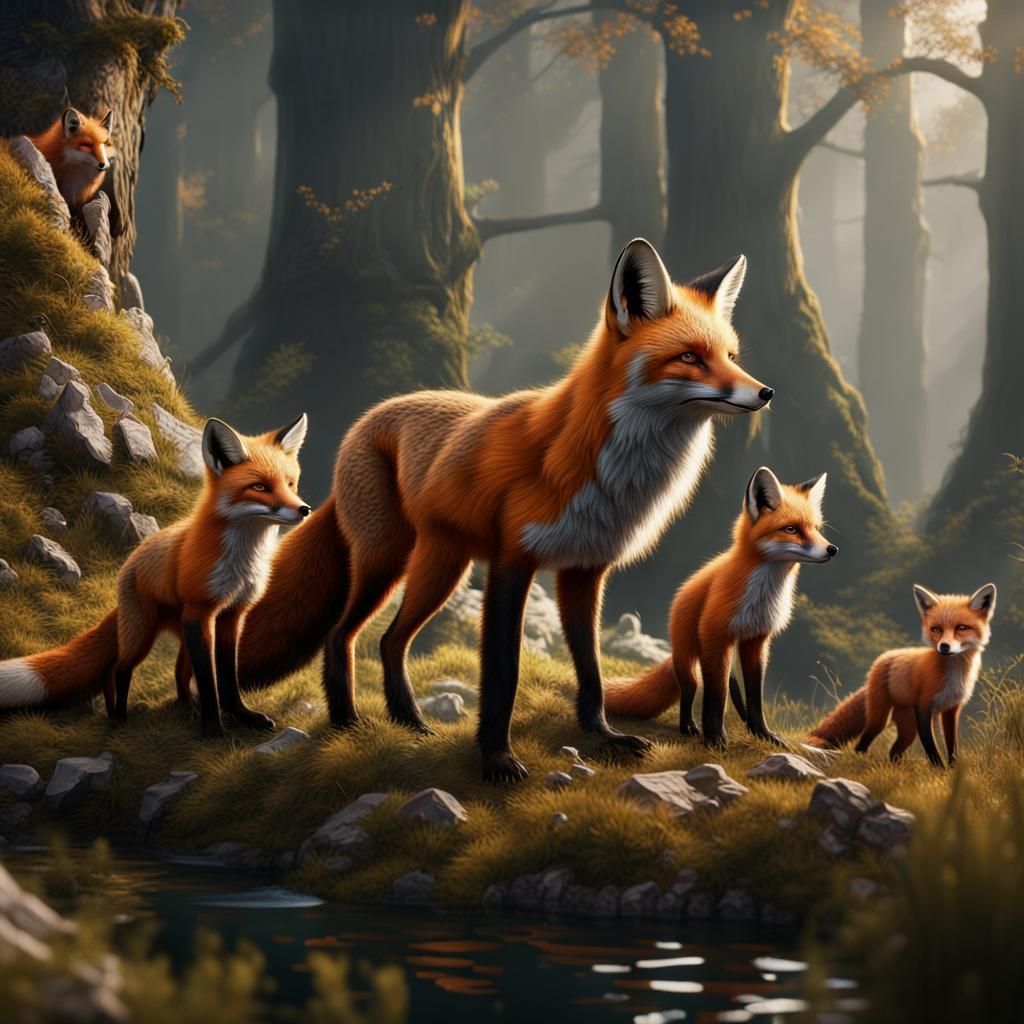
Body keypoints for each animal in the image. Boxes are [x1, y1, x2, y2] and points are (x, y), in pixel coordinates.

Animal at [0, 415, 310, 738]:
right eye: (260, 486)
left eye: (290, 483)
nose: (304, 509)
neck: (243, 560)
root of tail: (130, 563)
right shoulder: (200, 611)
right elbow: (208, 681)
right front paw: (213, 728)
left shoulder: (232, 615)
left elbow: (228, 677)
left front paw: (242, 716)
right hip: (145, 632)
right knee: (118, 669)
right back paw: (118, 719)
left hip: (180, 632)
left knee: (175, 672)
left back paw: (182, 707)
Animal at [231, 238, 774, 782]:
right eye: (690, 358)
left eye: (730, 356)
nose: (766, 392)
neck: (607, 472)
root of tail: (367, 417)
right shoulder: (512, 563)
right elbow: (501, 672)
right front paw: (497, 760)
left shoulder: (584, 571)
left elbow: (592, 670)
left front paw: (604, 736)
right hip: (389, 560)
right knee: (341, 635)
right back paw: (347, 721)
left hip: (441, 567)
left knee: (389, 642)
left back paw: (410, 723)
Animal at [604, 467, 837, 745]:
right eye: (791, 529)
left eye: (816, 528)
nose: (832, 549)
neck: (762, 597)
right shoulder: (715, 636)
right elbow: (715, 697)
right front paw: (715, 739)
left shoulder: (756, 641)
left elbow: (755, 697)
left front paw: (762, 733)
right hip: (690, 662)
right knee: (689, 691)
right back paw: (689, 728)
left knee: (732, 691)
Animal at [807, 583, 997, 766]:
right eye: (936, 629)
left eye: (961, 628)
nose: (944, 647)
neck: (953, 675)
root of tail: (883, 658)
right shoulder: (924, 706)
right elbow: (931, 747)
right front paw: (939, 769)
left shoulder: (951, 709)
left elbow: (952, 746)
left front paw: (952, 769)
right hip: (880, 719)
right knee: (863, 742)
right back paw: (861, 761)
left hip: (908, 728)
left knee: (894, 751)